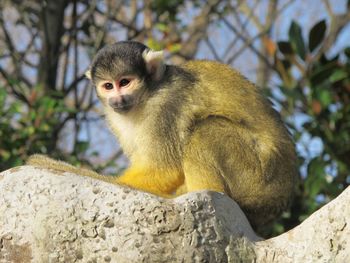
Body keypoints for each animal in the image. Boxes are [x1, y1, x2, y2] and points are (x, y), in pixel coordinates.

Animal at [27, 41, 296, 229]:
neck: (147, 95)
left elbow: (163, 169)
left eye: (125, 82)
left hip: (258, 179)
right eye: (108, 86)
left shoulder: (166, 104)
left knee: (205, 129)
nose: (117, 99)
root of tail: (280, 200)